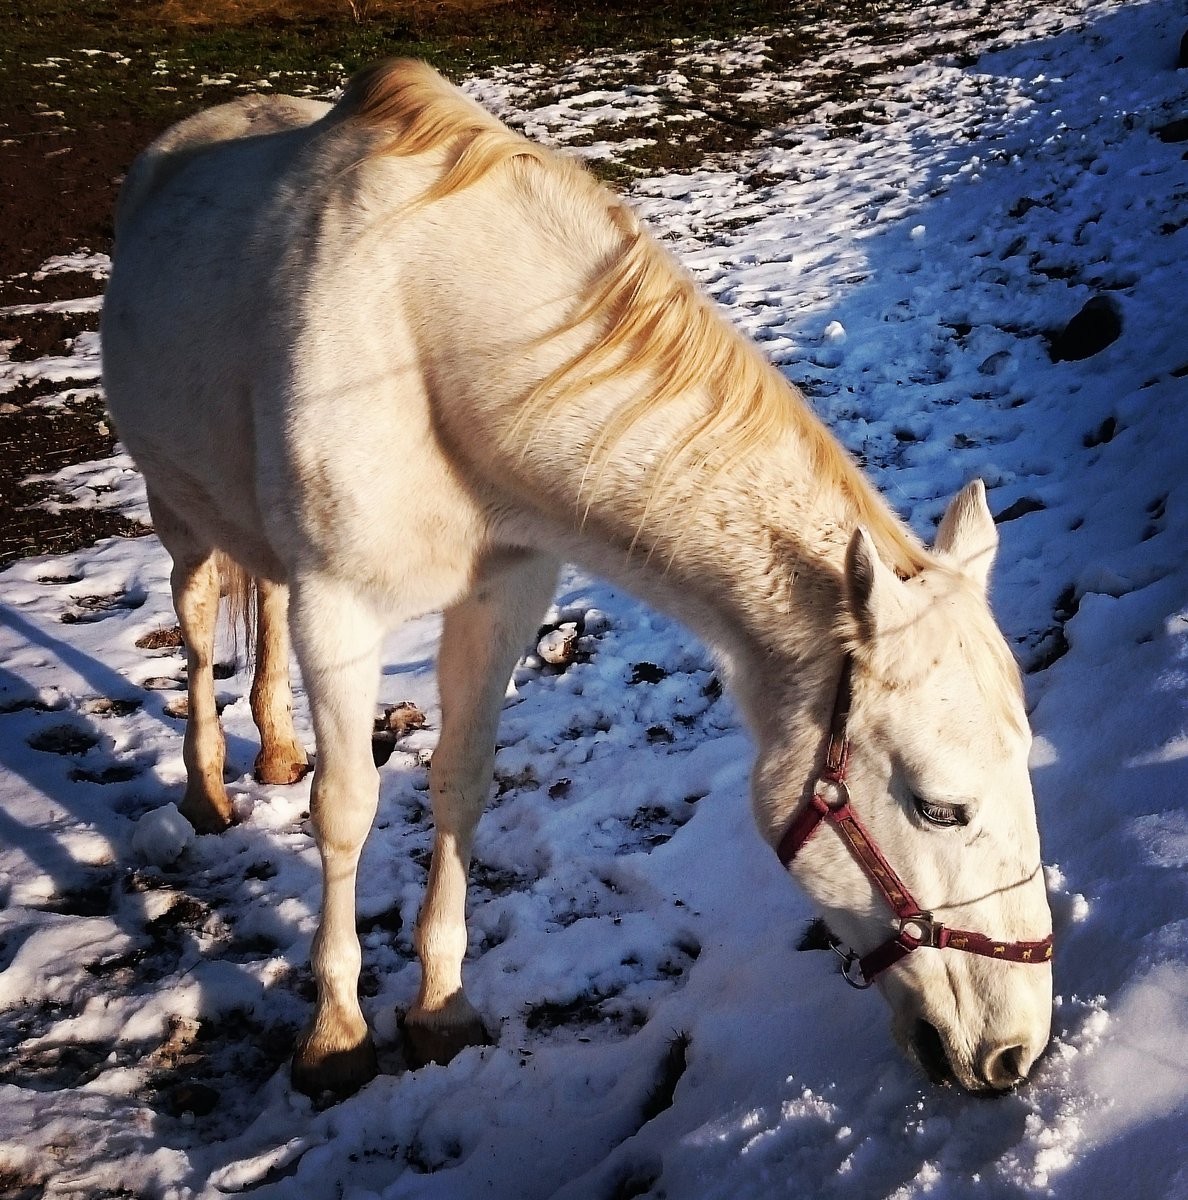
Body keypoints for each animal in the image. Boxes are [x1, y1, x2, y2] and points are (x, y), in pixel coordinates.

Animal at [101, 59, 1053, 1098]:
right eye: (939, 807)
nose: (1015, 1050)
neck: (427, 334)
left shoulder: (503, 593)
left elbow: (461, 785)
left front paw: (442, 1009)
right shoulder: (339, 610)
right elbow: (346, 810)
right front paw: (338, 1035)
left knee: (259, 598)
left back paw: (274, 747)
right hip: (177, 510)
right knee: (200, 626)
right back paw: (209, 790)